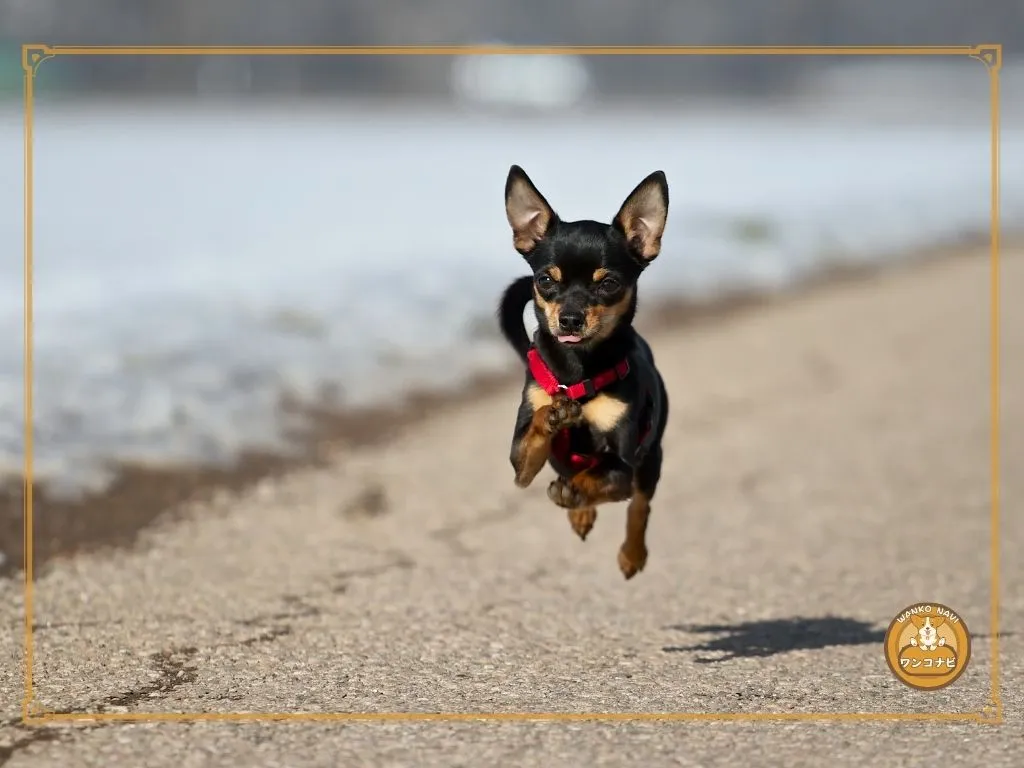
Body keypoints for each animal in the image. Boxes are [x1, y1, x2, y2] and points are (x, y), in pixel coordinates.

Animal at [497, 165, 671, 581]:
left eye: (608, 283)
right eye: (545, 280)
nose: (570, 318)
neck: (577, 372)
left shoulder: (623, 466)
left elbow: (605, 478)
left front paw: (577, 490)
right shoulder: (519, 464)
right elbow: (533, 436)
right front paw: (552, 416)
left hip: (650, 459)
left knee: (640, 506)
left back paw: (631, 552)